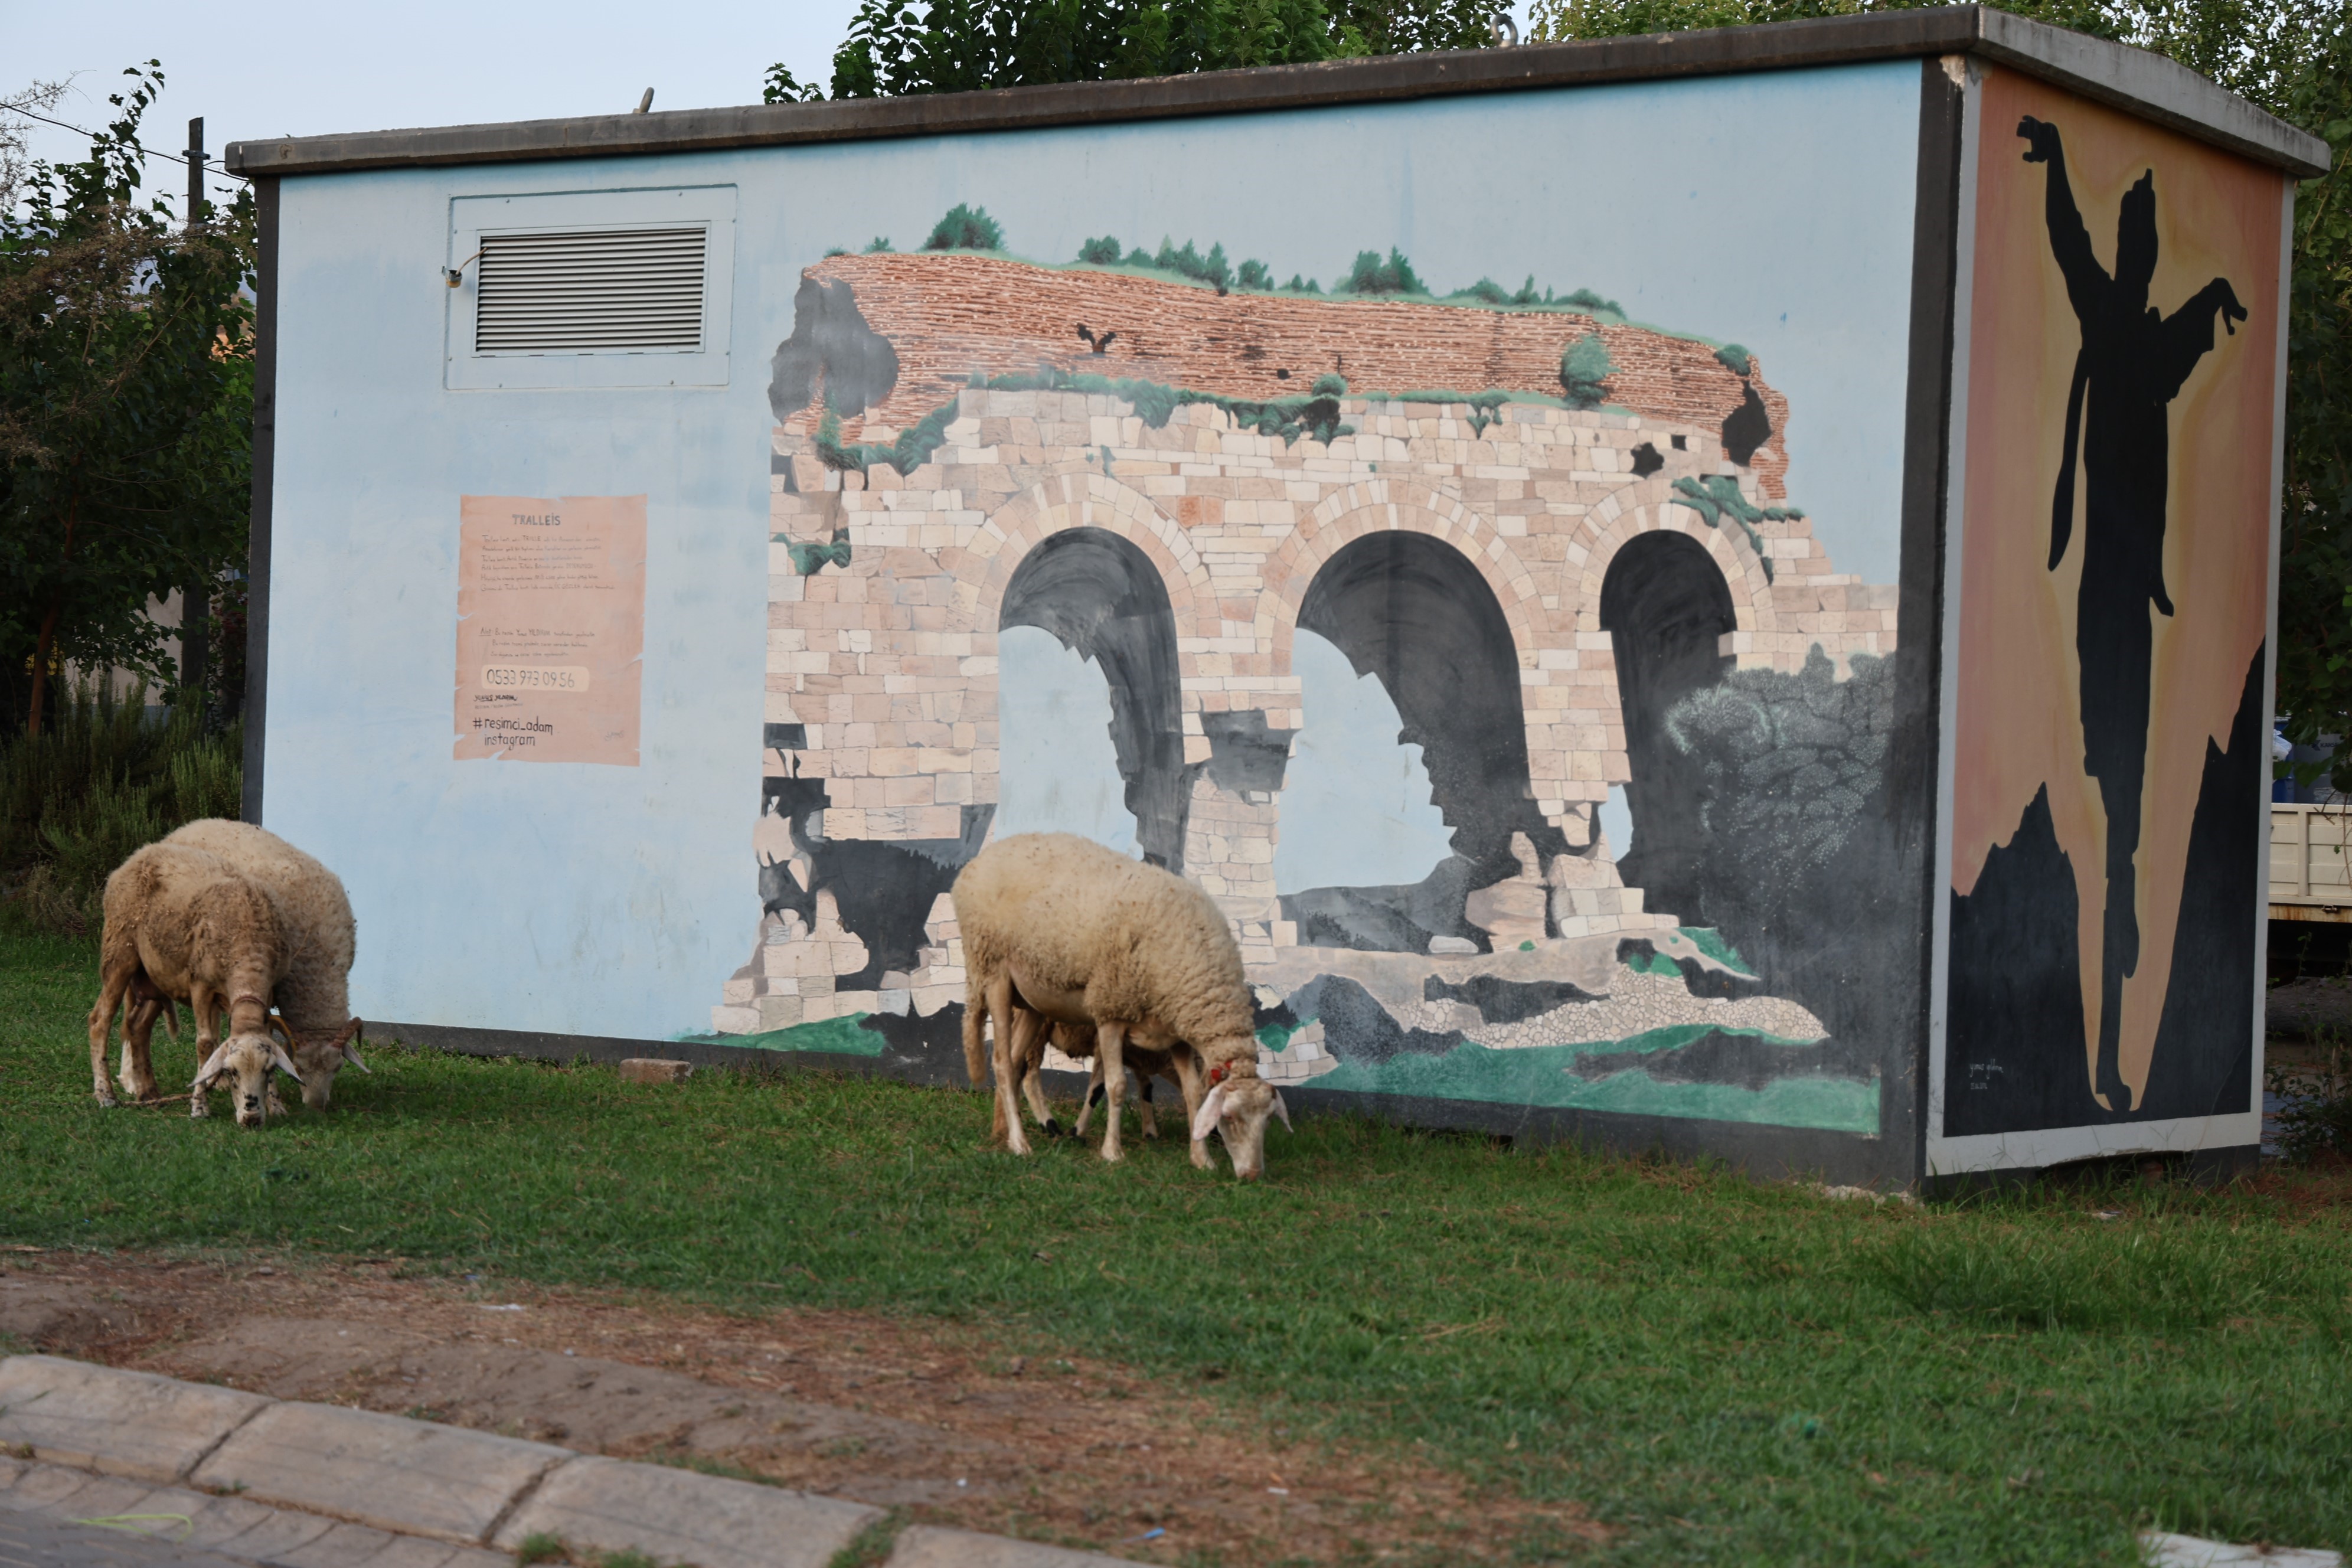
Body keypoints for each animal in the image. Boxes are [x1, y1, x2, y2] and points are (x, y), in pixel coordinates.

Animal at [90, 846, 305, 1128]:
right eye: (231, 1072)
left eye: (268, 1070)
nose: (251, 1119)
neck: (247, 952)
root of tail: (140, 854)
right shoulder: (201, 986)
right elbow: (204, 1043)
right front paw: (199, 1107)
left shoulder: (268, 992)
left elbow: (267, 1037)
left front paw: (277, 1105)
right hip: (119, 951)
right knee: (100, 1021)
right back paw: (105, 1095)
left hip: (156, 975)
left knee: (138, 1027)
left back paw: (149, 1092)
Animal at [950, 832, 1298, 1175]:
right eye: (1228, 1117)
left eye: (1267, 1121)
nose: (1252, 1175)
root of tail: (977, 862)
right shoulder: (1110, 1013)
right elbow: (1115, 1087)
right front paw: (1112, 1152)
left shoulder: (1176, 1035)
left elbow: (1193, 1093)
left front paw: (1202, 1160)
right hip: (993, 971)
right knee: (1002, 1063)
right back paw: (1020, 1143)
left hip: (1035, 1000)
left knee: (1014, 1059)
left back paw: (1001, 1132)